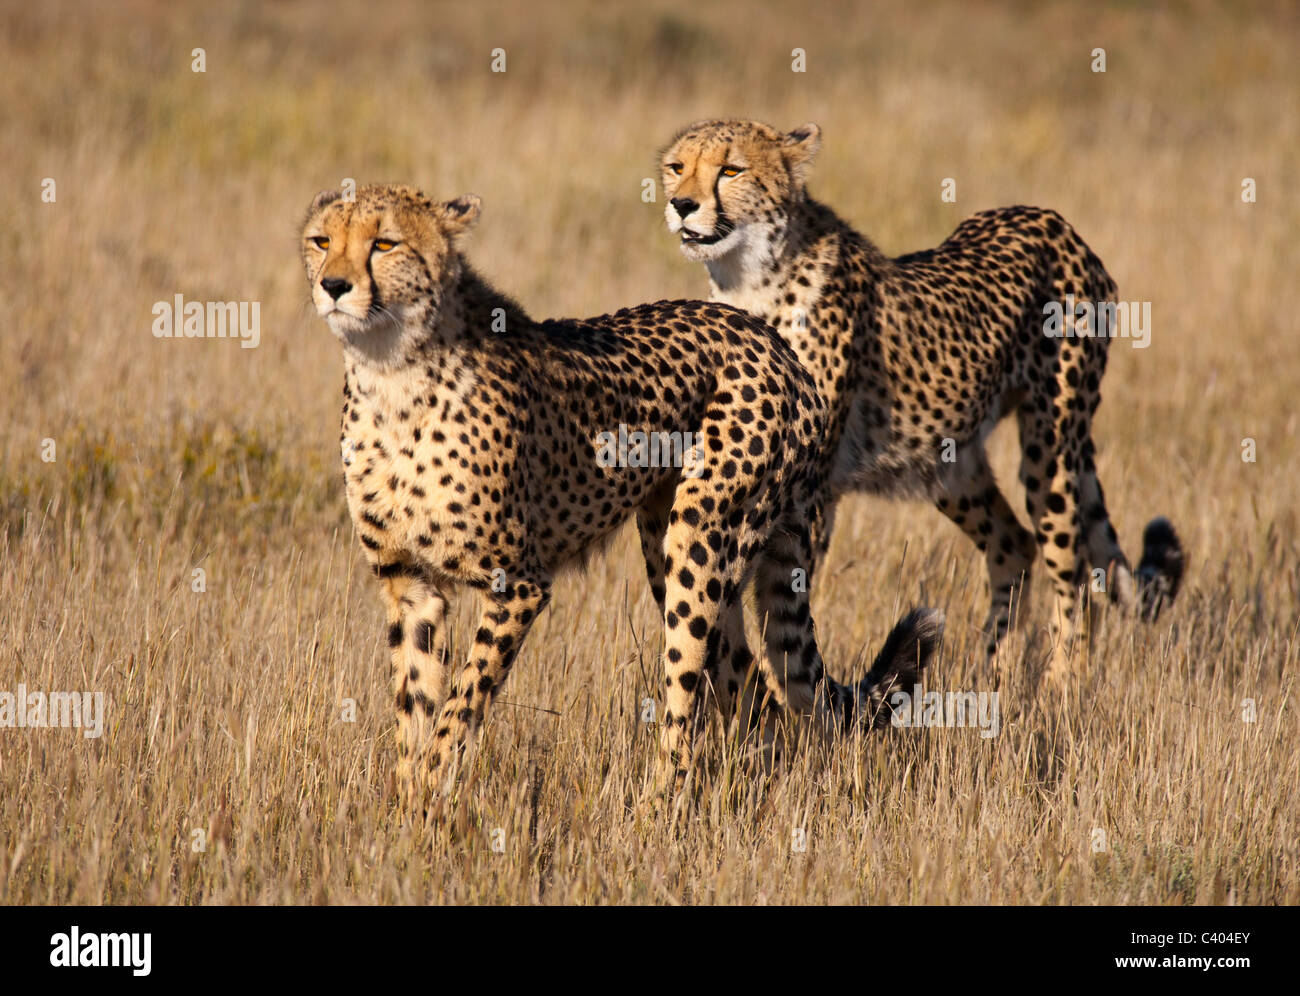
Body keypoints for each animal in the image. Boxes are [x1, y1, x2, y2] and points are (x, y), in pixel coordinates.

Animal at [299, 182, 941, 800]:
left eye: (384, 244)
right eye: (321, 241)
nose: (333, 285)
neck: (391, 373)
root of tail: (771, 340)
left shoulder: (519, 584)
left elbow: (461, 703)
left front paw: (433, 787)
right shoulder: (409, 583)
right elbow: (415, 707)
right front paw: (408, 812)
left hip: (699, 540)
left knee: (697, 691)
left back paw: (661, 810)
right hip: (670, 544)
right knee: (753, 687)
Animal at [658, 119, 1184, 680]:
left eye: (731, 170)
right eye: (677, 167)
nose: (682, 204)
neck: (749, 277)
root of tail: (1054, 221)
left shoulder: (813, 487)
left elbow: (787, 598)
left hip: (1051, 444)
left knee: (1074, 571)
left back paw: (1062, 683)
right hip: (949, 460)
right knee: (1014, 544)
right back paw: (993, 669)